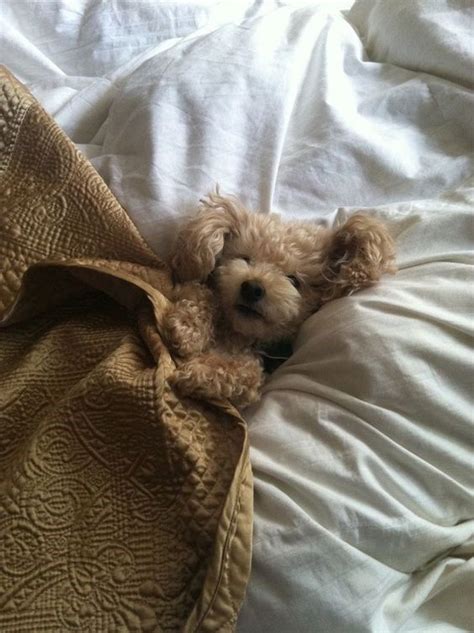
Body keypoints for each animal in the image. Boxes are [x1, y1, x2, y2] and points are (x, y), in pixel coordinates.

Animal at [164, 193, 396, 408]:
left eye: (294, 281)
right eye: (245, 258)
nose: (252, 288)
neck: (237, 334)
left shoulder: (255, 376)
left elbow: (247, 371)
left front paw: (198, 371)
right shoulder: (193, 289)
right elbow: (201, 293)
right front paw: (188, 330)